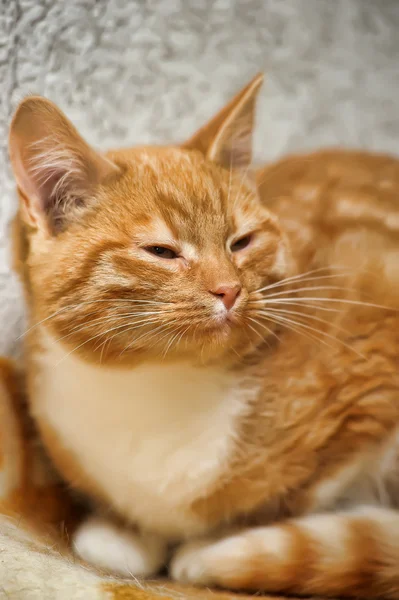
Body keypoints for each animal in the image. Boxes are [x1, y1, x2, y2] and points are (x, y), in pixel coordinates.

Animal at [7, 76, 399, 600]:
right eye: (162, 251)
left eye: (242, 242)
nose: (229, 289)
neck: (157, 384)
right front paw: (124, 533)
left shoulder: (372, 380)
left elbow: (306, 492)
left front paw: (217, 544)